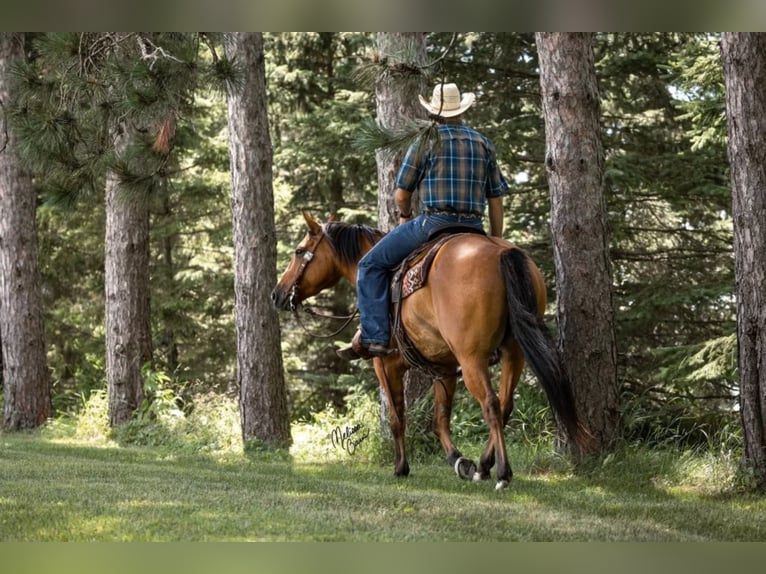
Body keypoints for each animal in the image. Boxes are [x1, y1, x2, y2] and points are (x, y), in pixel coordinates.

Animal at [272, 212, 592, 490]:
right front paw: (459, 461)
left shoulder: (386, 365)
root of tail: (501, 252)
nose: (277, 294)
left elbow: (397, 418)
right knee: (504, 405)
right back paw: (484, 465)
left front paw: (401, 468)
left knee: (490, 404)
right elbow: (440, 419)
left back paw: (502, 473)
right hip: (515, 353)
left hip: (472, 358)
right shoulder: (445, 368)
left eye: (299, 251)